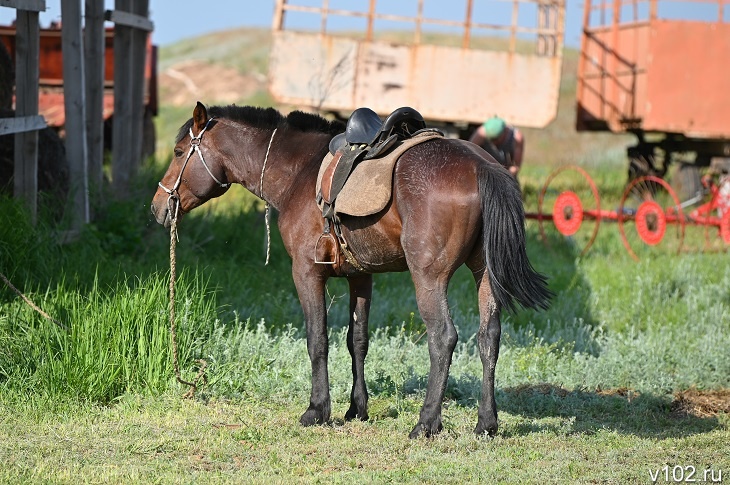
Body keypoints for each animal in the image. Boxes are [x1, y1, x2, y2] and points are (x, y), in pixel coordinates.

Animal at [151, 102, 548, 438]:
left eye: (178, 152)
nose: (158, 207)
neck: (299, 170)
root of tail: (482, 166)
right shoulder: (361, 276)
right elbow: (357, 341)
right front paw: (357, 408)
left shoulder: (307, 273)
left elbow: (317, 340)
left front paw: (317, 409)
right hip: (485, 274)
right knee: (488, 337)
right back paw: (486, 423)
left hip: (429, 278)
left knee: (443, 337)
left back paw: (426, 422)